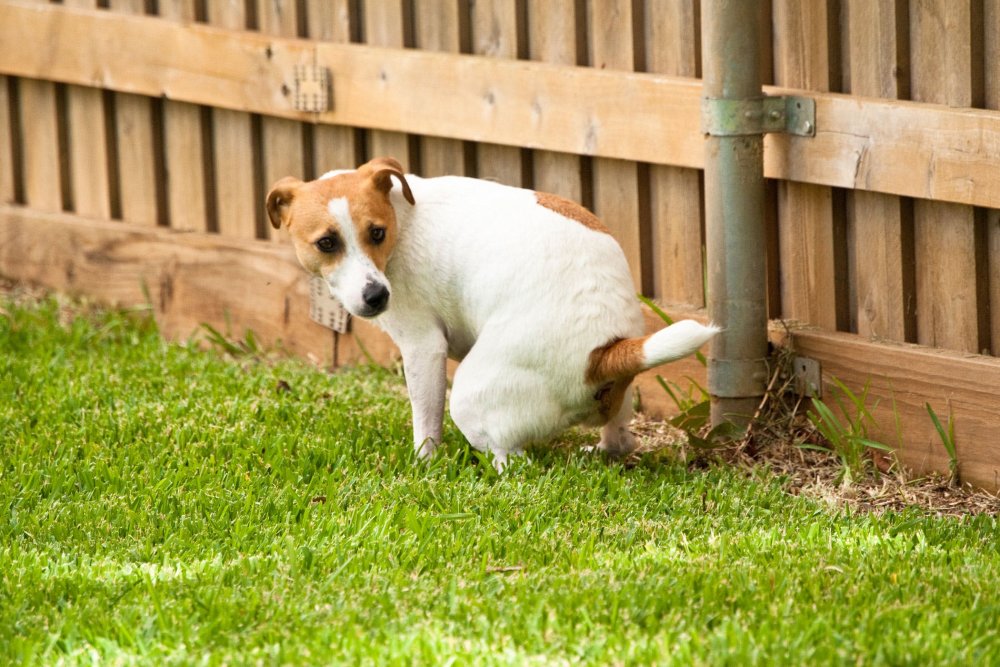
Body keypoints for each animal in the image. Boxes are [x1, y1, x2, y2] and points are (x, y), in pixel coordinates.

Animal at [266, 158, 720, 470]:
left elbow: (425, 424)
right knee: (620, 440)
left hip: (469, 401)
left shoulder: (423, 348)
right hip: (621, 400)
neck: (403, 218)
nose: (376, 296)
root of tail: (606, 349)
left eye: (376, 233)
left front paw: (424, 465)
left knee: (514, 461)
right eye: (327, 243)